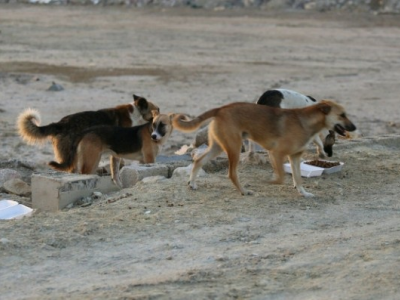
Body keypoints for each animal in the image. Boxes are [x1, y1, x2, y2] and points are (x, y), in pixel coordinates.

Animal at [172, 100, 356, 197]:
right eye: (342, 115)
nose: (354, 127)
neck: (306, 122)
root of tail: (221, 108)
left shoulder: (294, 157)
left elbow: (298, 178)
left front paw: (303, 193)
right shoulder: (276, 153)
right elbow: (281, 178)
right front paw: (270, 182)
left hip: (218, 147)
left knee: (198, 160)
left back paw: (192, 183)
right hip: (234, 148)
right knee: (231, 174)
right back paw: (244, 191)